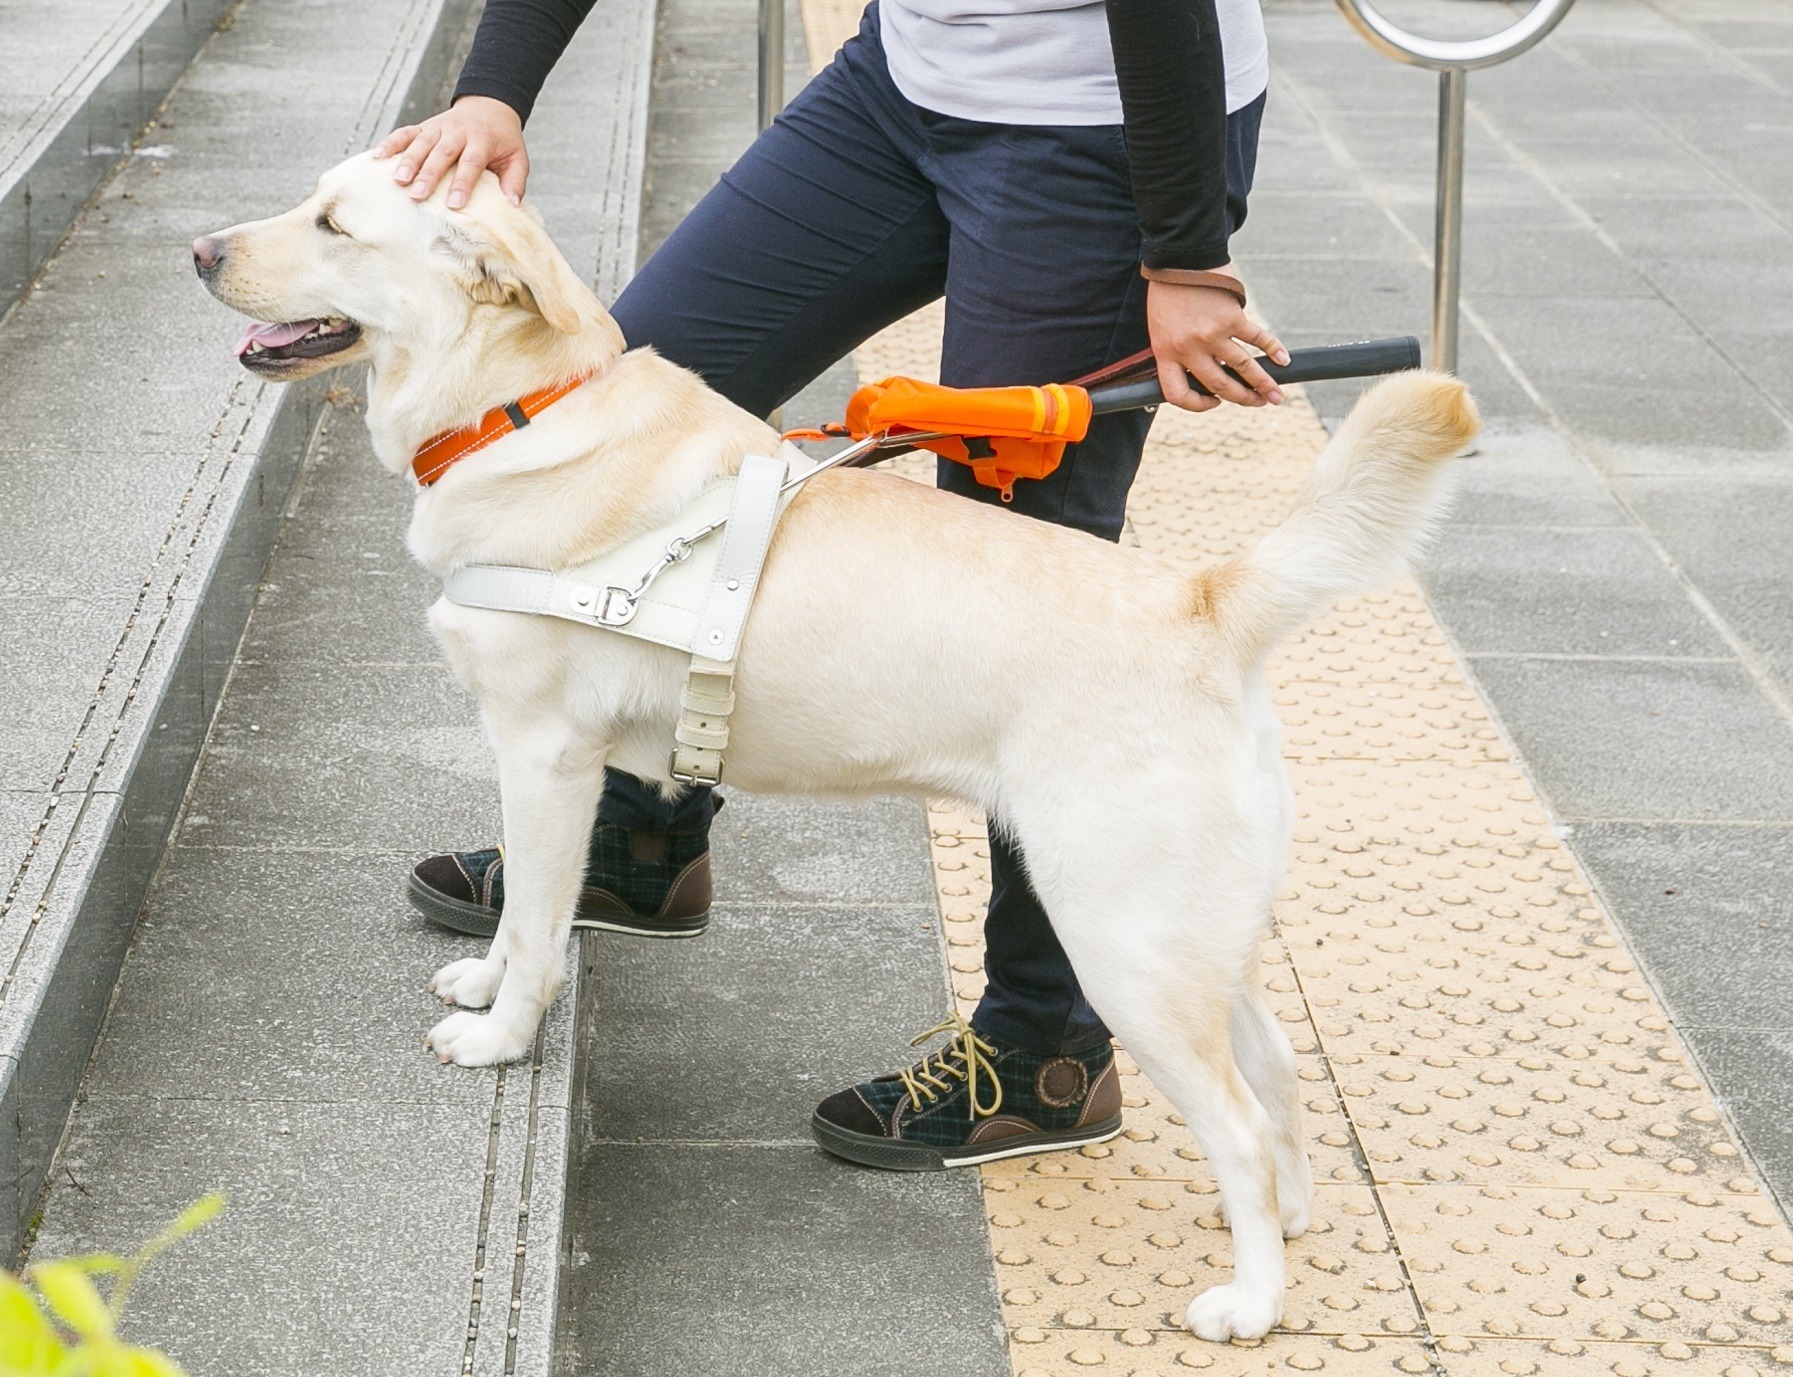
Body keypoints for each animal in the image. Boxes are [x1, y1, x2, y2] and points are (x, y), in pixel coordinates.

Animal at [196, 153, 1477, 1348]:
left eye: (332, 225)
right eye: (313, 198)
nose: (199, 250)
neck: (522, 408)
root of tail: (1201, 601)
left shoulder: (545, 753)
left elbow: (540, 928)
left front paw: (503, 1036)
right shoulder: (547, 760)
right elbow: (519, 918)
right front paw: (484, 983)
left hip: (1119, 940)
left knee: (1239, 1124)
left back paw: (1250, 1302)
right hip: (1197, 931)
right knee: (1279, 1076)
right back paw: (1291, 1227)